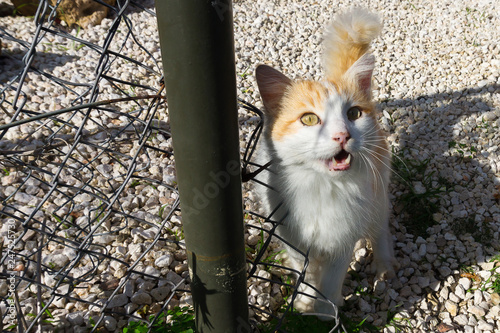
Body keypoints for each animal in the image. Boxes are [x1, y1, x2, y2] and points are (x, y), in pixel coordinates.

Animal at [254, 7, 398, 318]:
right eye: (309, 119)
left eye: (353, 114)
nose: (342, 135)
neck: (322, 188)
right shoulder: (294, 241)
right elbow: (307, 276)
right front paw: (304, 303)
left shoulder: (342, 243)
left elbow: (331, 282)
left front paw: (325, 313)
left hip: (379, 195)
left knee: (380, 231)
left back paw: (384, 270)